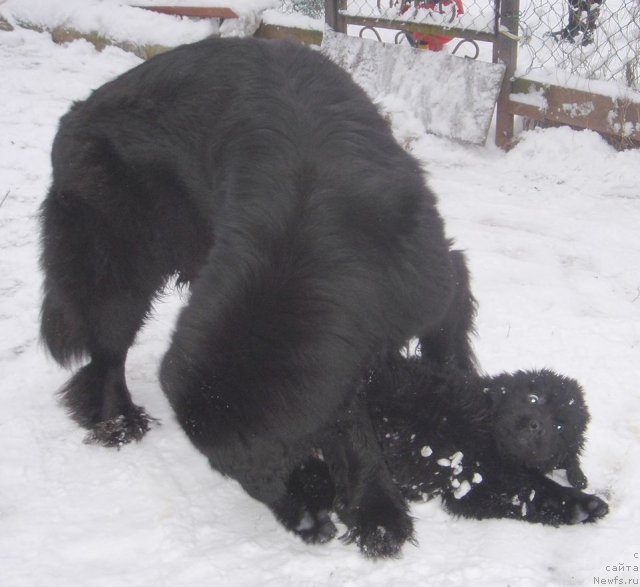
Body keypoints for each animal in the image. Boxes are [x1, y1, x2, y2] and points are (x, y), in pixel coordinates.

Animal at [38, 38, 464, 560]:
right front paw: (377, 511)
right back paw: (116, 419)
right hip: (117, 258)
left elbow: (447, 332)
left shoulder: (426, 281)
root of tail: (71, 117)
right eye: (249, 479)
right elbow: (352, 422)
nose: (309, 526)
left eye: (275, 466)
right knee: (107, 347)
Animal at [288, 354, 608, 548]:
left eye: (561, 427)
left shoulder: (479, 487)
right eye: (533, 398)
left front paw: (585, 507)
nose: (536, 425)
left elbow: (531, 493)